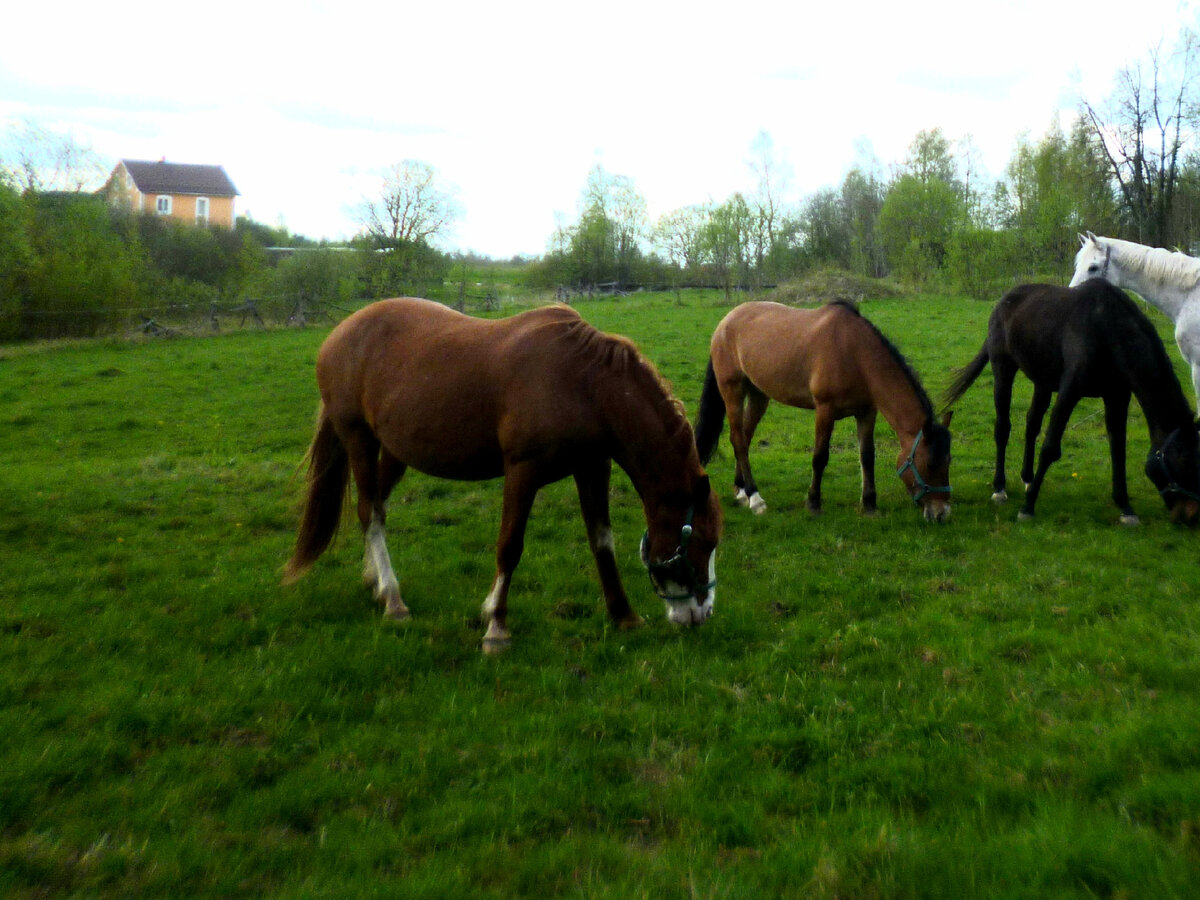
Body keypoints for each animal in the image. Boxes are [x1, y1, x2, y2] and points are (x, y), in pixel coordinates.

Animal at [283, 300, 720, 652]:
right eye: (703, 540)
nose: (701, 615)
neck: (585, 386)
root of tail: (339, 333)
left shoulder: (592, 467)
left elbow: (602, 542)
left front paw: (624, 616)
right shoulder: (522, 471)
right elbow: (510, 547)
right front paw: (496, 627)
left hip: (393, 449)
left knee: (378, 506)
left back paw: (374, 582)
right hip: (357, 436)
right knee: (368, 512)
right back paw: (393, 599)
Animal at [696, 301, 955, 520]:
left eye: (949, 461)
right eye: (930, 464)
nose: (941, 513)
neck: (854, 353)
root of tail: (725, 322)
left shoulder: (866, 412)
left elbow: (867, 456)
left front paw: (869, 503)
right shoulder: (825, 410)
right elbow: (820, 457)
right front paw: (813, 502)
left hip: (759, 395)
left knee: (745, 437)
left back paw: (741, 490)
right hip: (733, 391)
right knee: (738, 440)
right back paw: (755, 497)